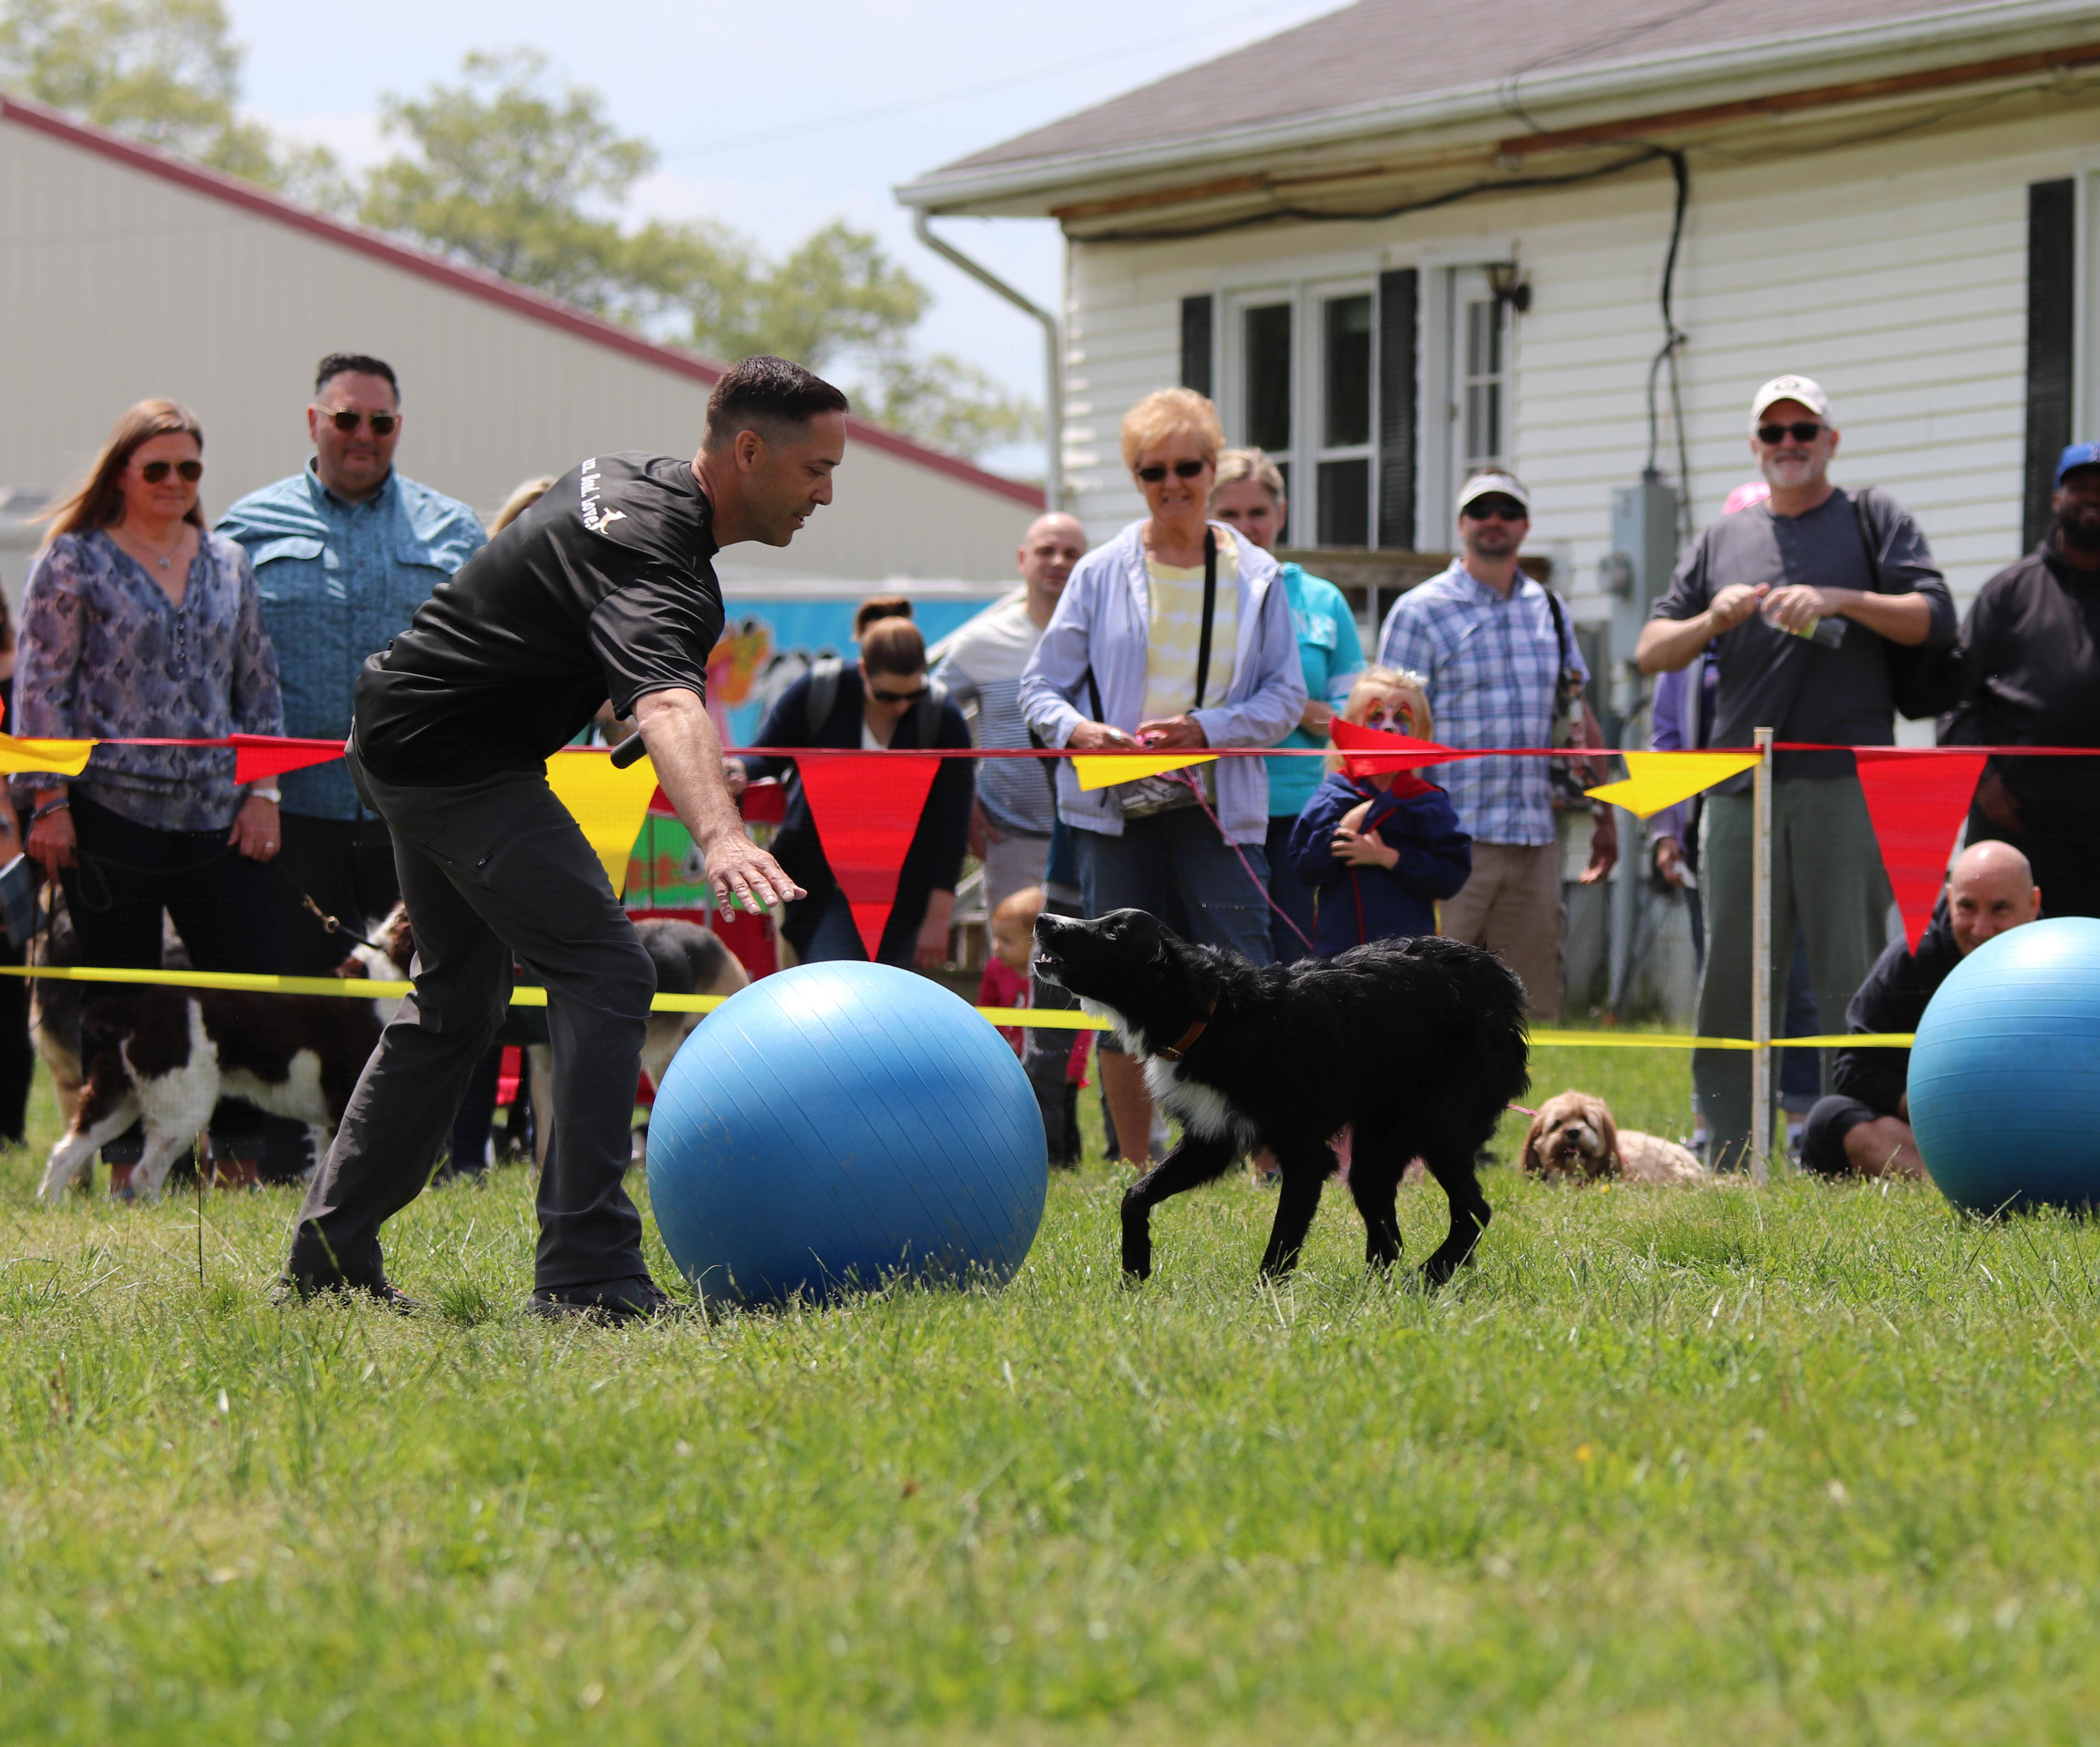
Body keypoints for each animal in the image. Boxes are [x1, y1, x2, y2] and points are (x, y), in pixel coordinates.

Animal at [37, 898, 412, 1201]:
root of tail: (137, 1008)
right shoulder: (349, 1096)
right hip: (183, 1103)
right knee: (144, 1173)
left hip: (120, 1093)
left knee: (67, 1150)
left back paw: (52, 1206)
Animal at [1033, 907, 1529, 1293]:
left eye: (1114, 931)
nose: (1042, 919)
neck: (1215, 1014)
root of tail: (1501, 979)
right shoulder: (1211, 1138)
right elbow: (1134, 1196)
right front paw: (1135, 1269)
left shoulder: (1307, 1156)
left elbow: (1282, 1241)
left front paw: (1262, 1301)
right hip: (1378, 1148)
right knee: (1390, 1232)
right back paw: (1383, 1291)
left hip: (1440, 1126)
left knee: (1475, 1211)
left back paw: (1429, 1275)